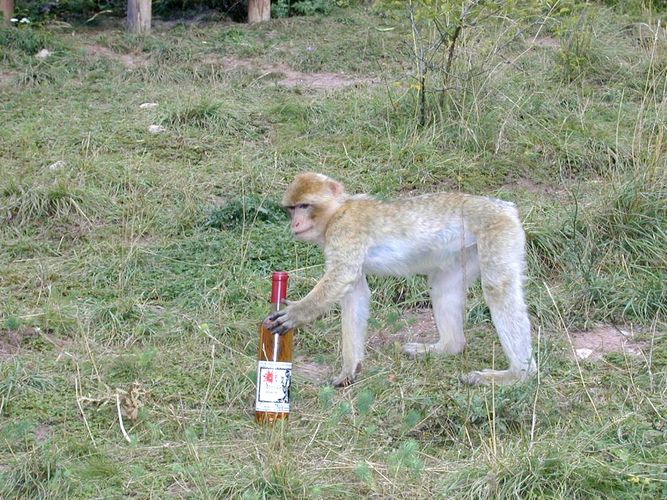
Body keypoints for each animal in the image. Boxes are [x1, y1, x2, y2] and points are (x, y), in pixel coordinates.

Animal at [266, 172, 536, 386]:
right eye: (291, 209)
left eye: (304, 206)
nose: (295, 223)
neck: (336, 212)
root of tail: (505, 206)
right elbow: (355, 295)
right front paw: (349, 370)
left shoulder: (346, 230)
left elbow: (342, 275)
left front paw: (296, 313)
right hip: (466, 250)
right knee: (443, 286)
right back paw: (449, 346)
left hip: (497, 228)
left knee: (497, 288)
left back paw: (518, 375)